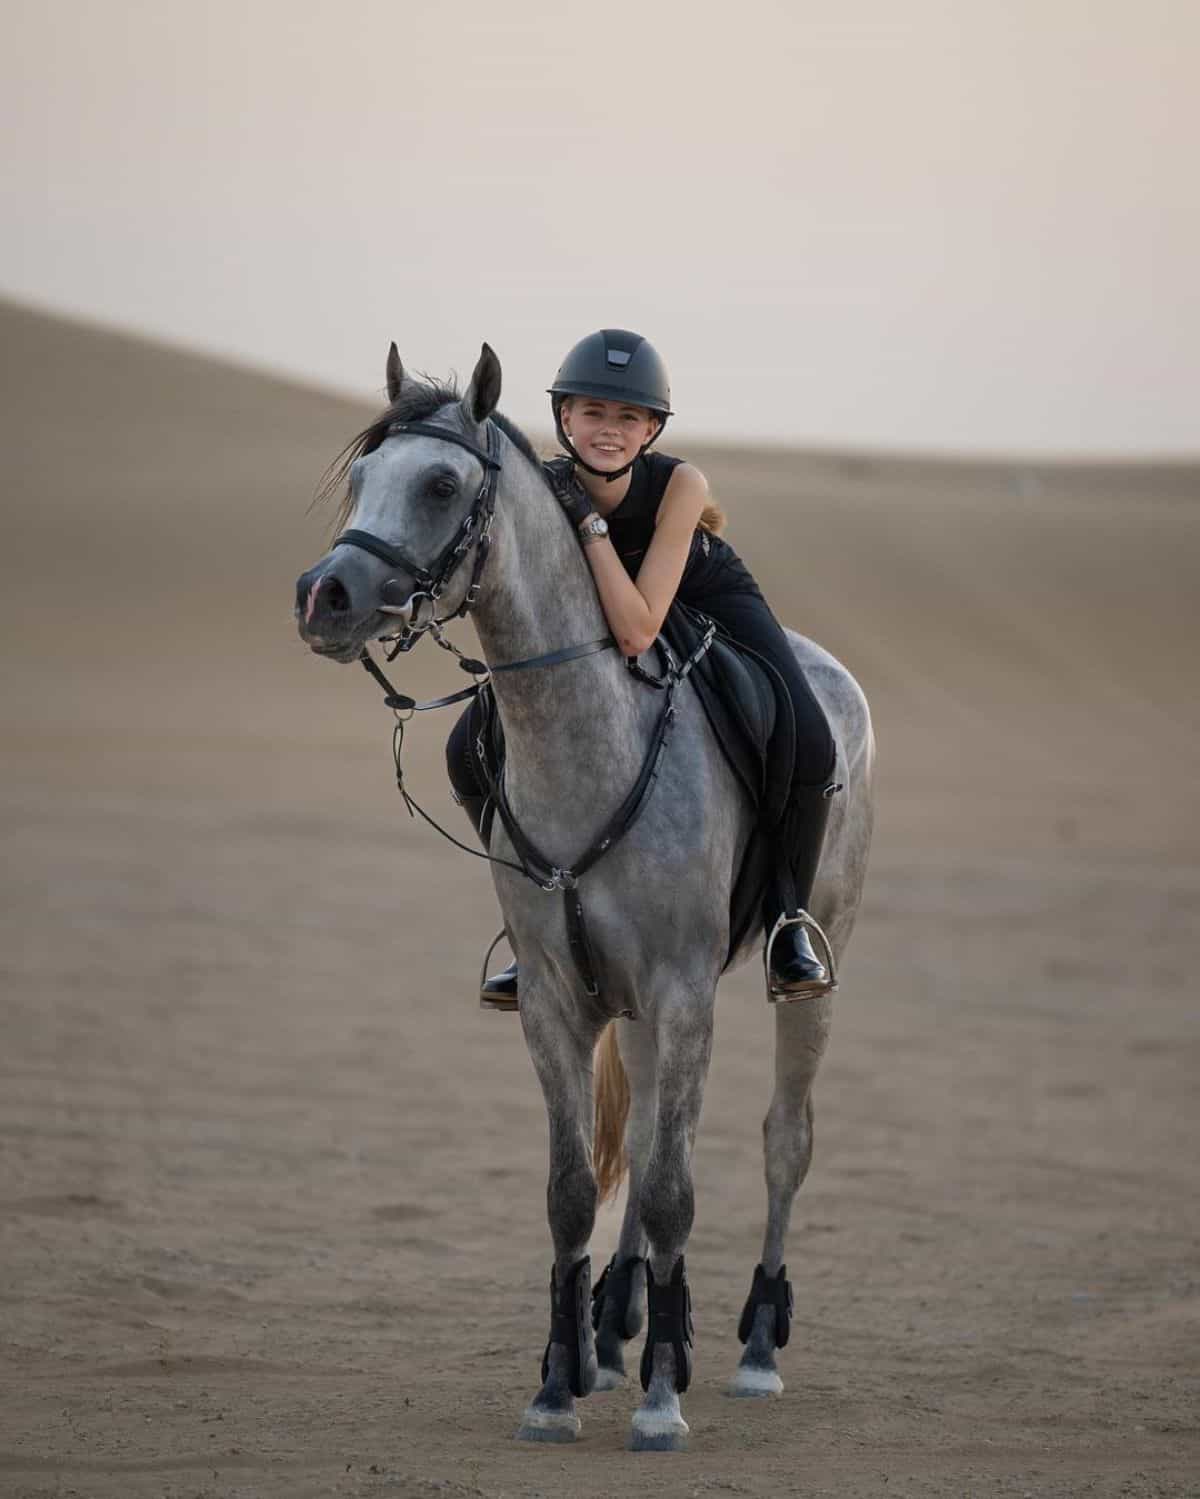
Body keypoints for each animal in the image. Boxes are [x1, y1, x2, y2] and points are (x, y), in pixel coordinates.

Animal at [290, 343, 868, 1451]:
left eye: (441, 484)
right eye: (361, 476)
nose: (324, 596)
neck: (582, 739)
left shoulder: (686, 996)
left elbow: (680, 1189)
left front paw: (661, 1397)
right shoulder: (559, 1000)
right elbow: (572, 1192)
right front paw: (561, 1380)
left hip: (810, 972)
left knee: (786, 1139)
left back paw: (754, 1344)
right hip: (630, 1010)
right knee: (638, 1143)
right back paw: (617, 1326)